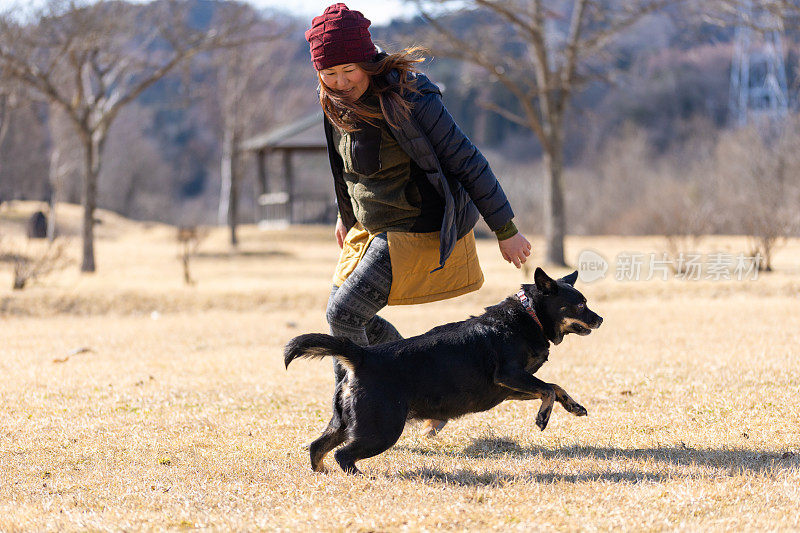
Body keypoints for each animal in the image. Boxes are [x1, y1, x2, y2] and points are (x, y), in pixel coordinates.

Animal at [284, 266, 604, 474]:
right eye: (580, 305)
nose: (600, 319)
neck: (528, 316)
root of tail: (363, 356)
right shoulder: (510, 375)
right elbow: (548, 388)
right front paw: (543, 417)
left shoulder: (510, 388)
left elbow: (555, 387)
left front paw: (573, 406)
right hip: (381, 429)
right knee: (343, 455)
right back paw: (361, 477)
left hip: (345, 422)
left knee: (317, 447)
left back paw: (322, 475)